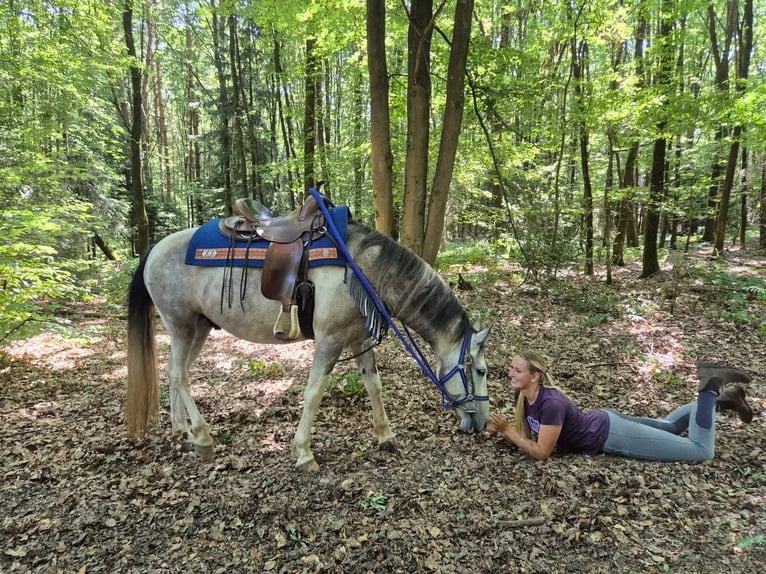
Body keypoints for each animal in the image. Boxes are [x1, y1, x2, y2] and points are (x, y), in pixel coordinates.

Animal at [126, 204, 491, 471]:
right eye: (481, 370)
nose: (484, 422)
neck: (363, 269)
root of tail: (154, 250)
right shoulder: (330, 340)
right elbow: (314, 393)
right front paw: (303, 452)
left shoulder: (358, 339)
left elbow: (374, 384)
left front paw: (386, 435)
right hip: (181, 325)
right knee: (178, 375)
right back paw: (201, 437)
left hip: (198, 328)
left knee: (176, 374)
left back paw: (181, 428)